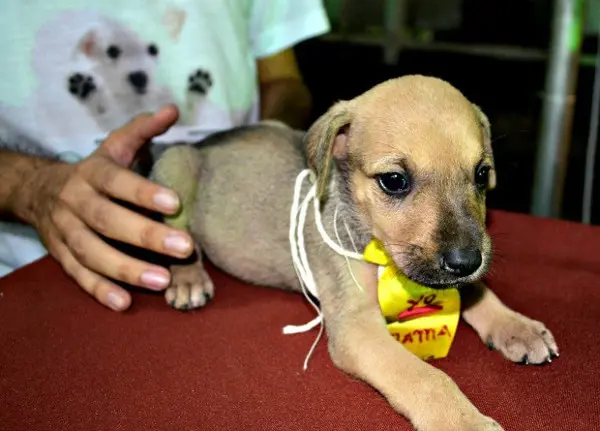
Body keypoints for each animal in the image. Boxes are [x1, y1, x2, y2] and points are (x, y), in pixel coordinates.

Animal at [150, 76, 556, 430]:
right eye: (394, 181)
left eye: (482, 173)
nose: (466, 262)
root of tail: (203, 143)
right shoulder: (356, 327)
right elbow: (425, 376)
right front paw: (464, 422)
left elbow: (477, 291)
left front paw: (516, 326)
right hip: (176, 167)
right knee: (178, 237)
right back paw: (188, 277)